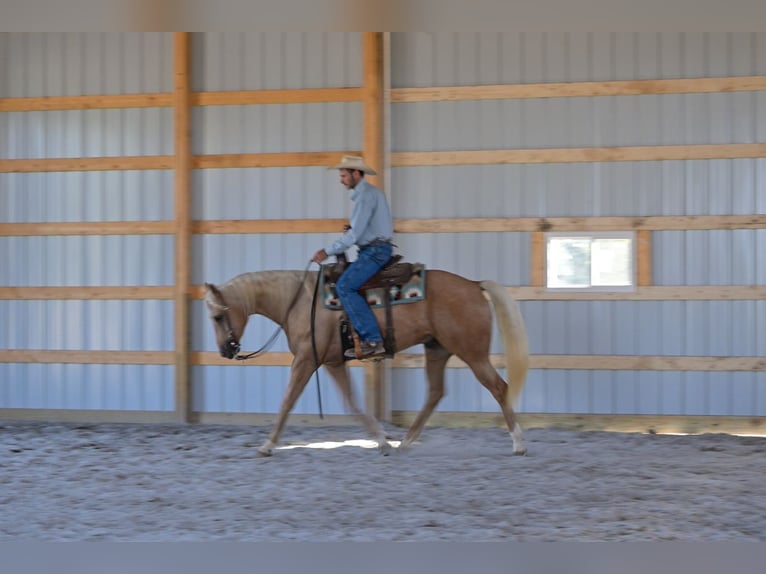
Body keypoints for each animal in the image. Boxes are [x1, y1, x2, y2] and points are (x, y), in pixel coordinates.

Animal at [204, 267, 530, 457]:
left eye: (218, 316)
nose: (225, 351)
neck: (298, 301)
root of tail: (474, 285)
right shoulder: (333, 363)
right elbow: (352, 402)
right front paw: (382, 440)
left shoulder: (306, 360)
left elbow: (287, 401)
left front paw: (268, 445)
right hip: (437, 349)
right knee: (435, 392)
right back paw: (405, 442)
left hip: (472, 353)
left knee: (498, 387)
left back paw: (518, 443)